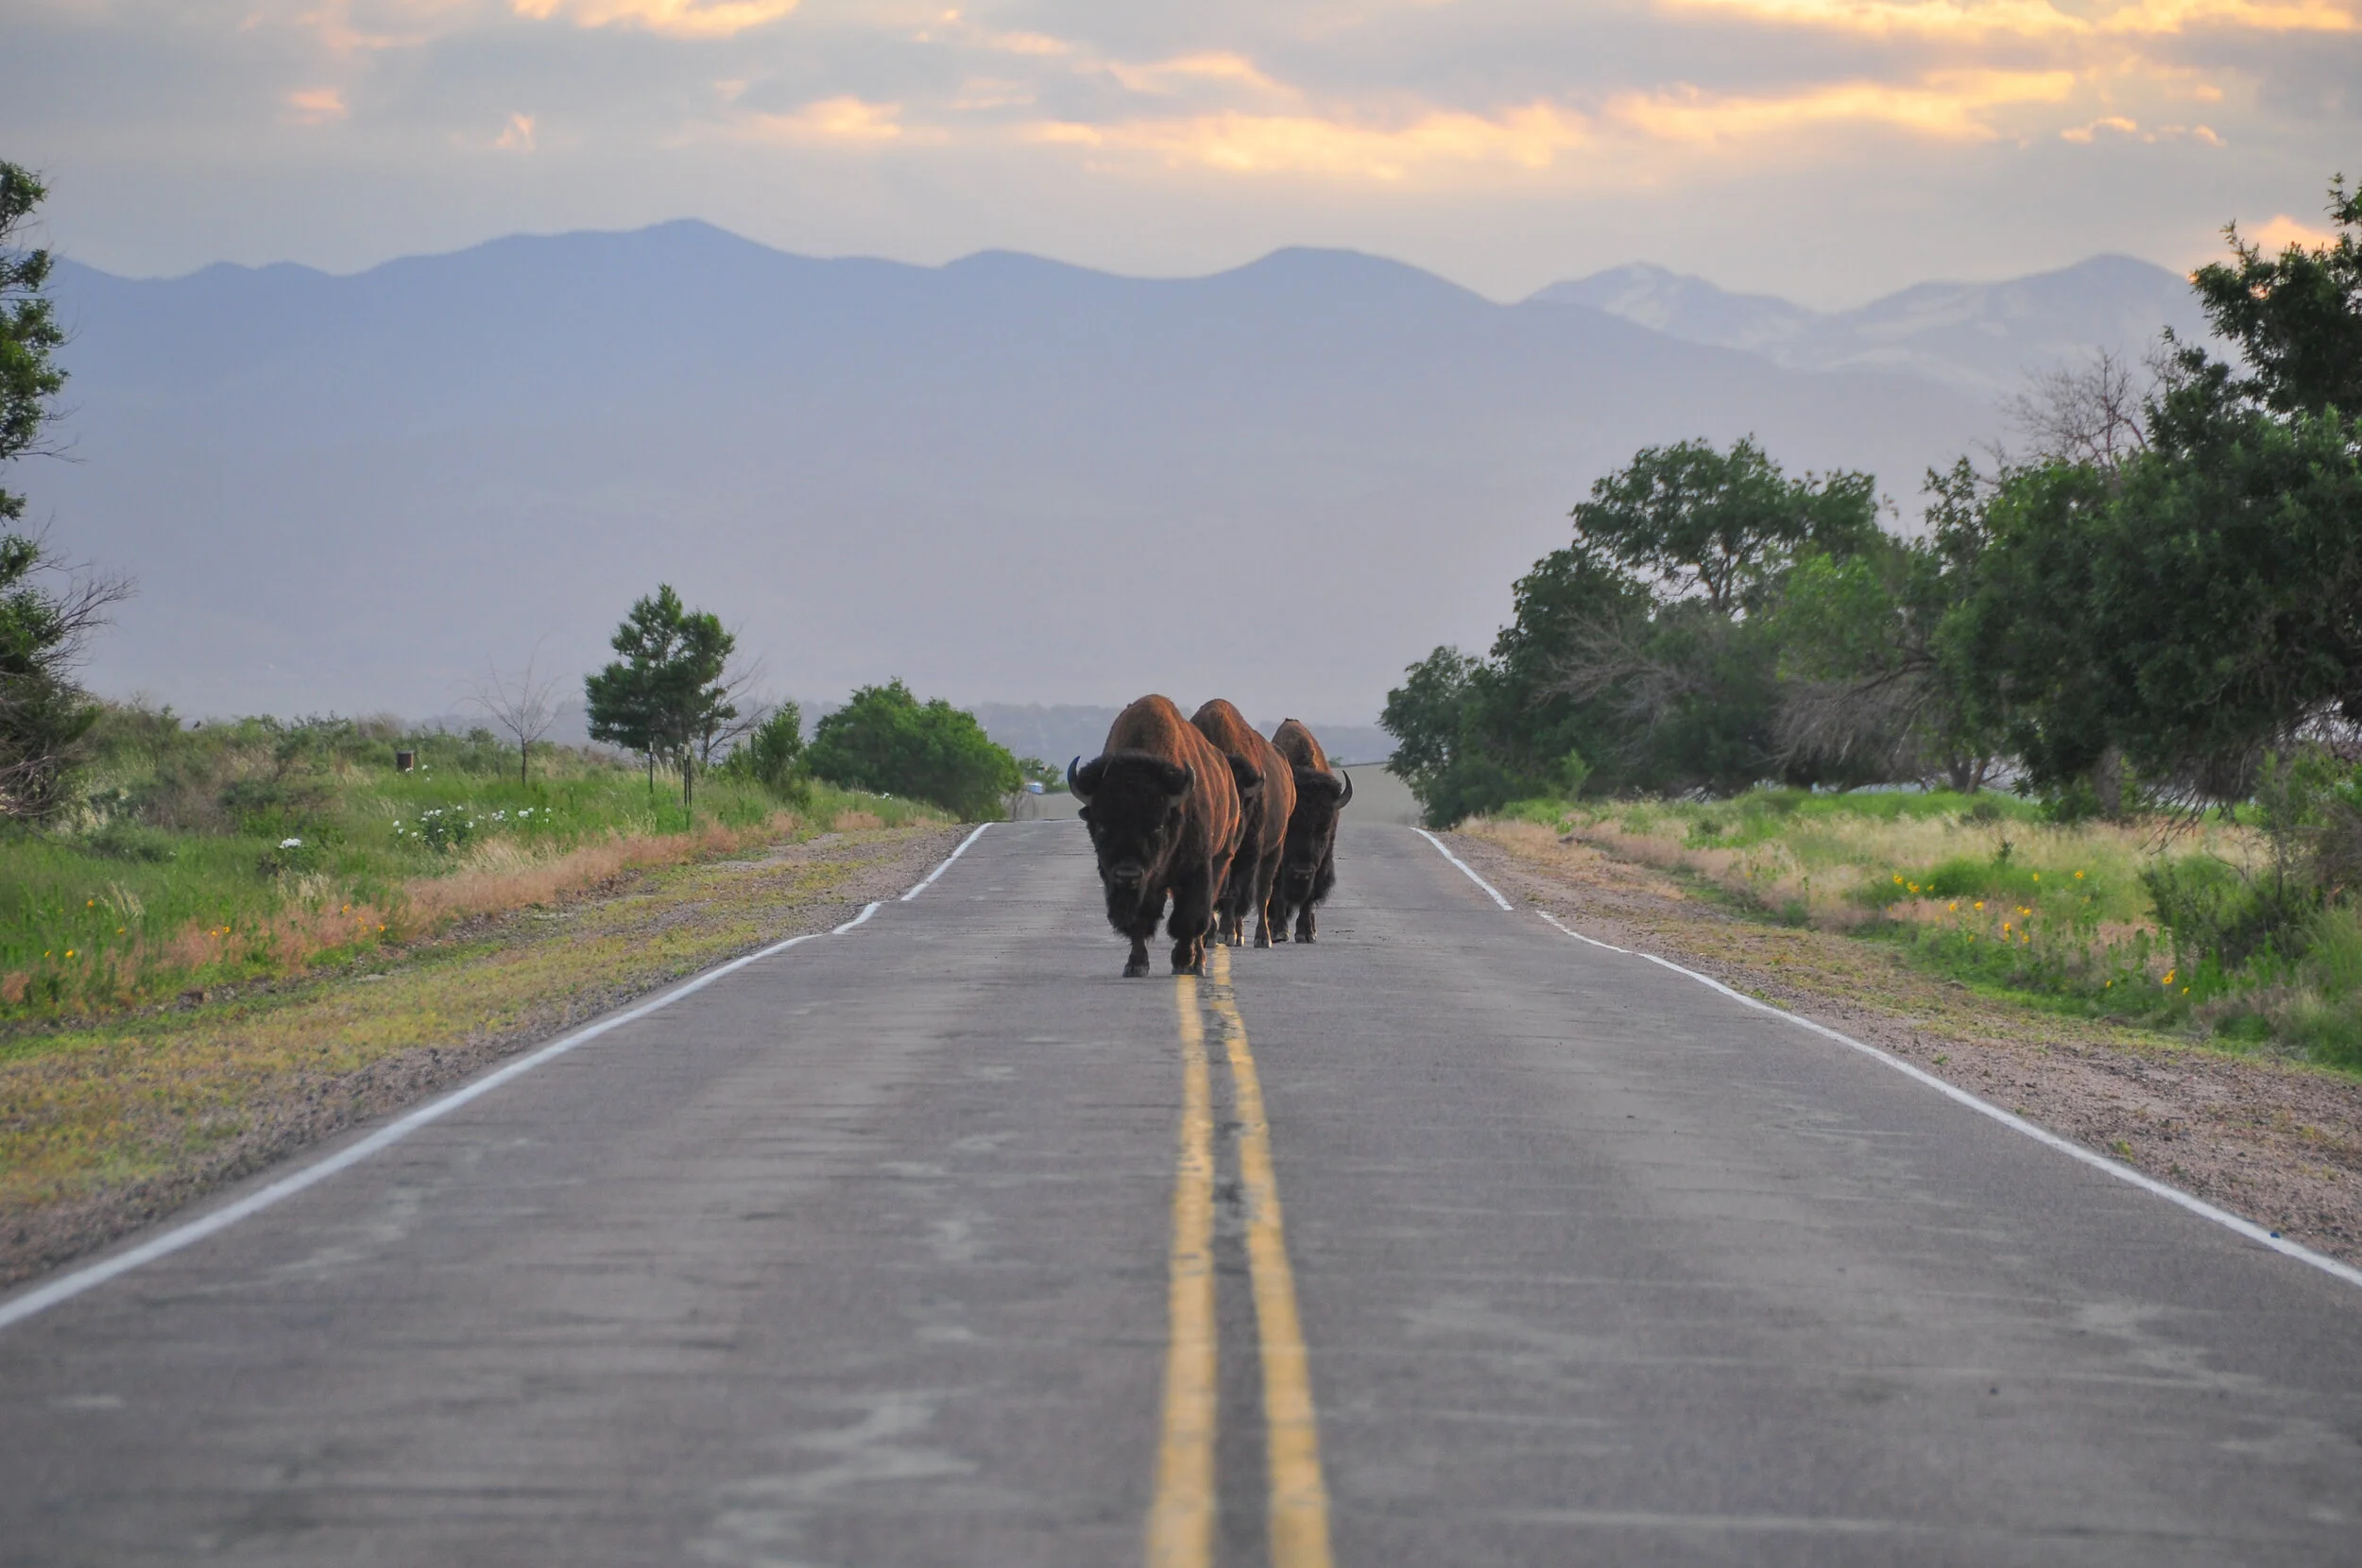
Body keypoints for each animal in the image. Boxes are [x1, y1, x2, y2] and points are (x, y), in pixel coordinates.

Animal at [1069, 695, 1253, 977]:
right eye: (1101, 826)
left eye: (1158, 825)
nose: (1128, 874)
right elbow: (1139, 921)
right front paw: (1135, 965)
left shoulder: (1195, 871)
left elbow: (1189, 919)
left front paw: (1184, 962)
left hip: (1222, 858)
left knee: (1205, 913)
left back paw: (1198, 961)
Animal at [1190, 699, 1298, 949]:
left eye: (1241, 806)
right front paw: (1210, 935)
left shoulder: (1246, 853)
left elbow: (1234, 892)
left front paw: (1225, 934)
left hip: (1274, 849)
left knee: (1262, 893)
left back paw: (1261, 937)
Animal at [1267, 718, 1353, 944]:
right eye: (1289, 828)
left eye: (1324, 828)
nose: (1302, 871)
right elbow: (1278, 892)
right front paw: (1280, 931)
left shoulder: (1321, 864)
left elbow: (1309, 897)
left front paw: (1305, 933)